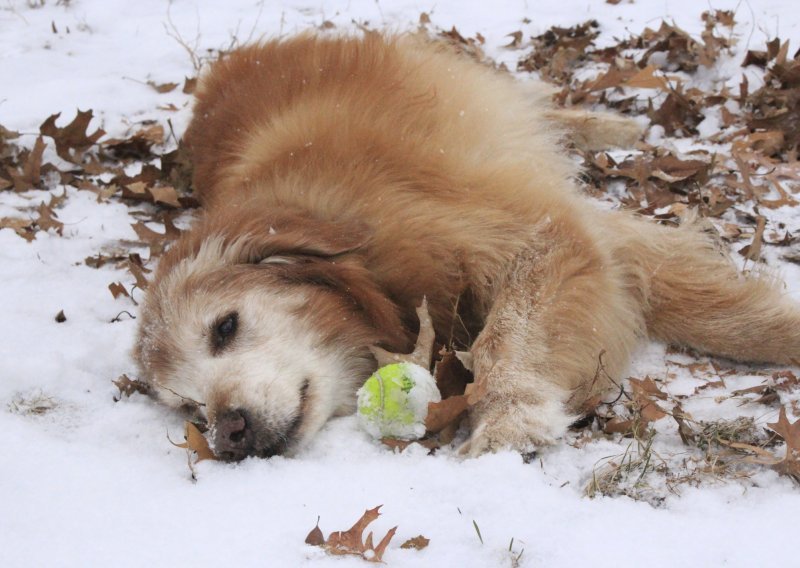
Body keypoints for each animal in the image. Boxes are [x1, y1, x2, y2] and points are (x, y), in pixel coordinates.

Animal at [134, 32, 800, 462]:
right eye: (189, 408)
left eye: (224, 327)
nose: (228, 435)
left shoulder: (539, 235)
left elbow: (507, 337)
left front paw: (506, 417)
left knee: (535, 100)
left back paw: (613, 125)